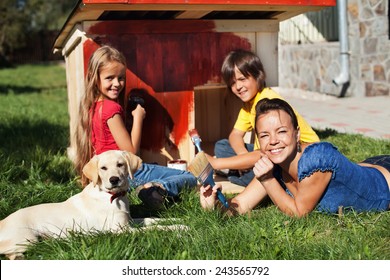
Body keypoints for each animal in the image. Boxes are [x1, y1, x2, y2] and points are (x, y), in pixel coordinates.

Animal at [0, 150, 142, 260]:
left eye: (120, 165)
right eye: (103, 168)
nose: (114, 180)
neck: (112, 196)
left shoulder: (129, 221)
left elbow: (146, 220)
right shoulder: (120, 230)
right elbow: (144, 230)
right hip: (27, 239)